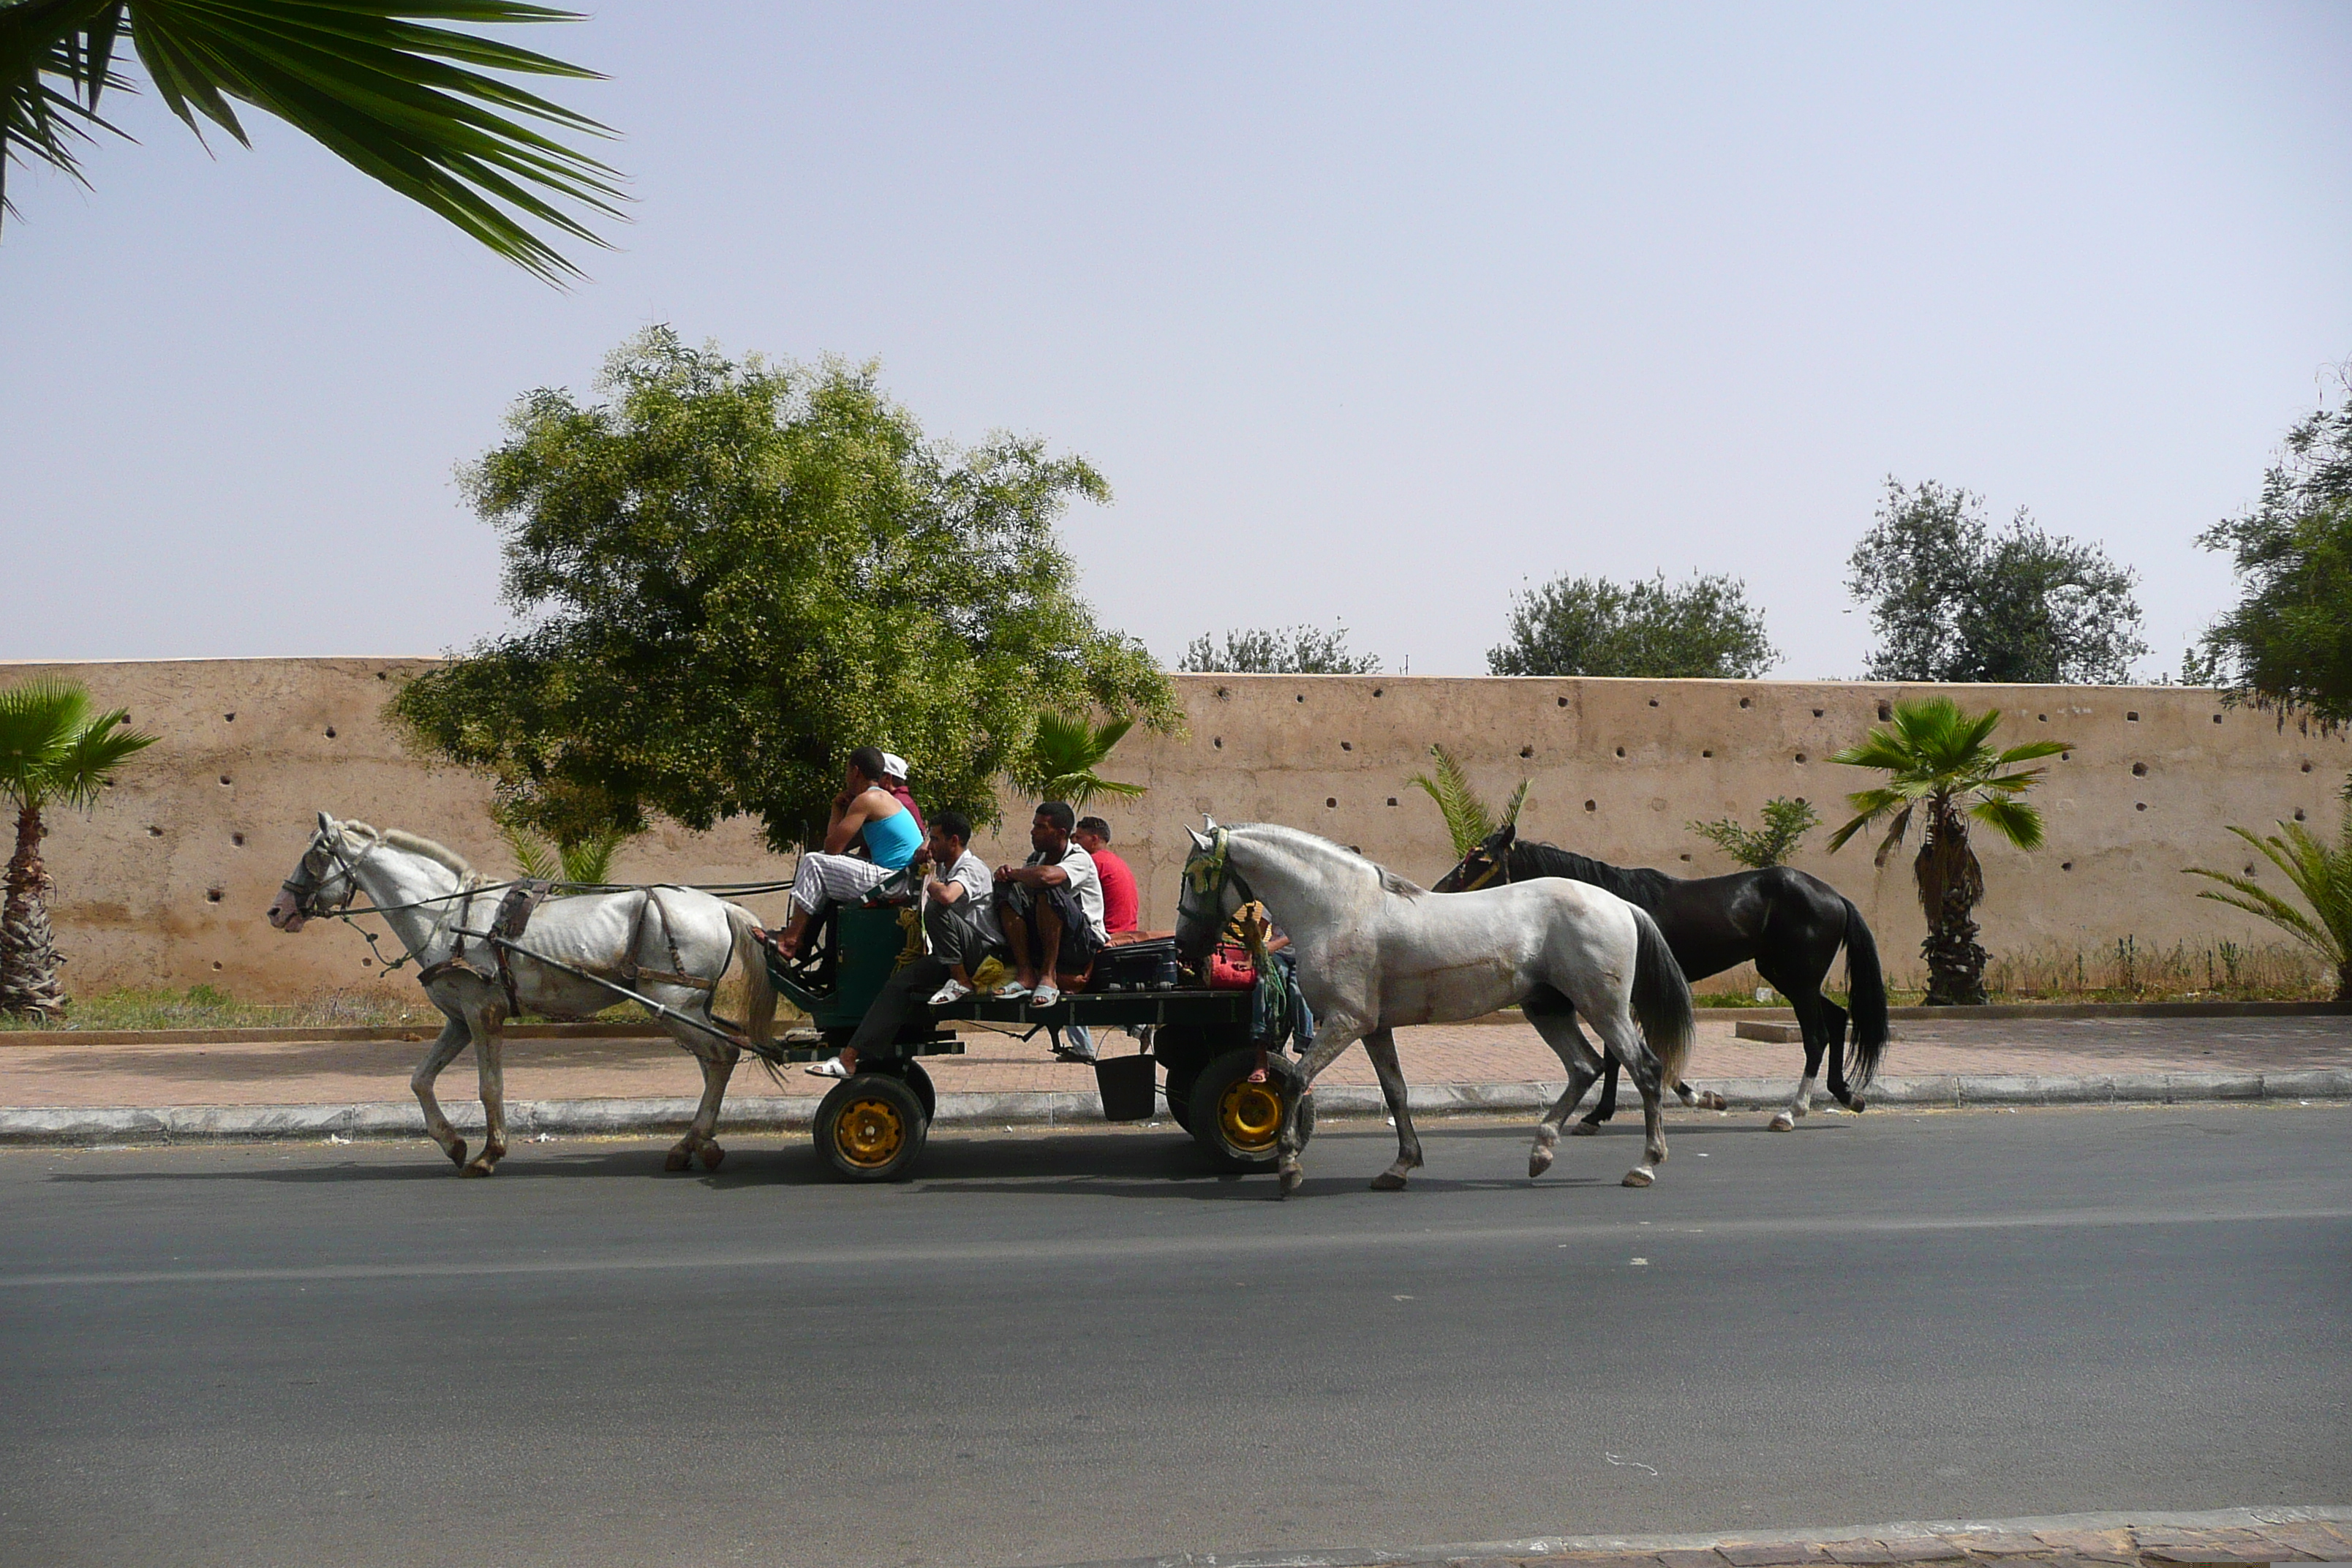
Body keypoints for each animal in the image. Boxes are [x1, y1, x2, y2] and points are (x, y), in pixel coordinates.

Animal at [1171, 818, 1693, 1194]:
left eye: (1195, 877)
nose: (1186, 947)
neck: (1338, 908)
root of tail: (1620, 905)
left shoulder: (1345, 1022)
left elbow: (1298, 1079)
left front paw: (1288, 1166)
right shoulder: (1373, 1029)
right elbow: (1397, 1093)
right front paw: (1400, 1167)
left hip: (1604, 1009)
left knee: (1646, 1071)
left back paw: (1644, 1166)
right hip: (1547, 1010)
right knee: (1585, 1067)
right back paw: (1541, 1153)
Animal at [1430, 823, 1891, 1128]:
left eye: (1479, 859)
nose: (1438, 890)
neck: (1609, 904)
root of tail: (1835, 897)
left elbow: (1621, 1054)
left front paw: (1601, 1113)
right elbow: (1627, 1053)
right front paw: (1692, 1097)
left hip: (1797, 979)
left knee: (1817, 1036)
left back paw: (1791, 1112)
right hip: (1789, 977)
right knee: (1837, 1019)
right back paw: (1847, 1094)